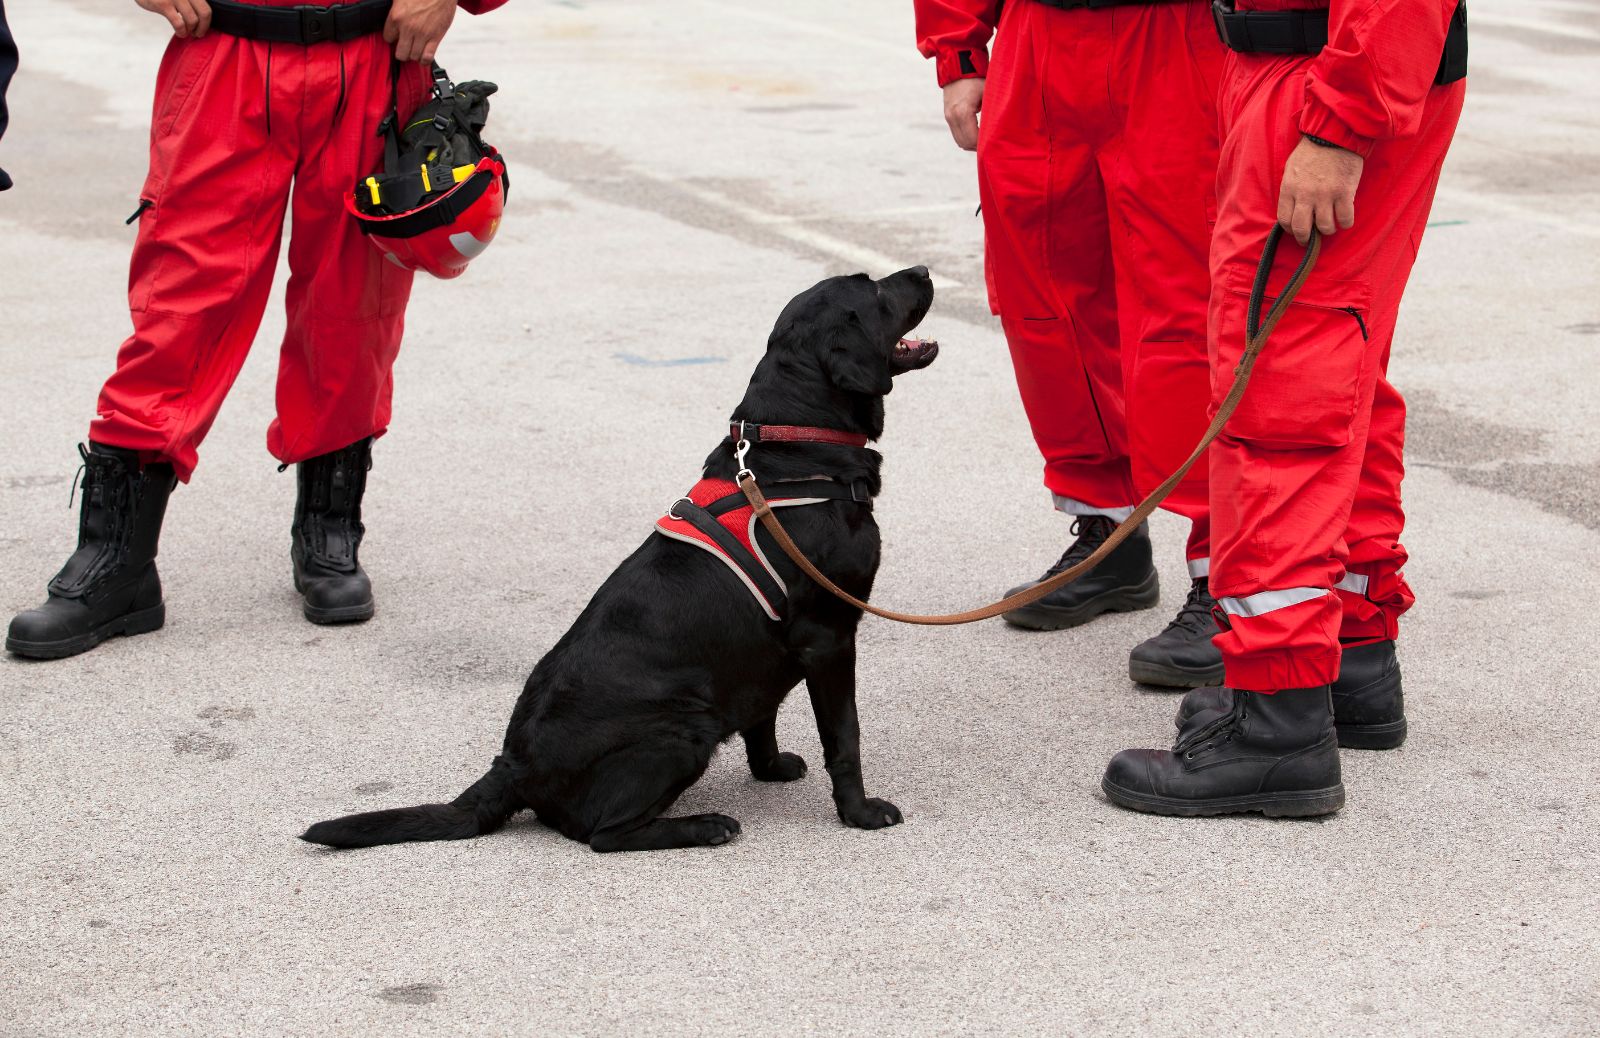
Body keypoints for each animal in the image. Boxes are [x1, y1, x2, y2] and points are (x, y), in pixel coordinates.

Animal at [302, 267, 934, 850]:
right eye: (875, 289)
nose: (925, 271)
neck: (795, 443)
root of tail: (513, 766)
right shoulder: (829, 637)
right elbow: (845, 736)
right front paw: (859, 812)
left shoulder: (772, 651)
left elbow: (763, 718)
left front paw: (772, 769)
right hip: (684, 723)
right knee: (604, 834)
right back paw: (704, 826)